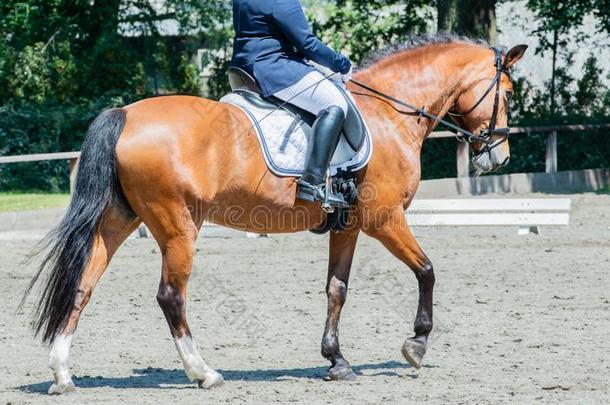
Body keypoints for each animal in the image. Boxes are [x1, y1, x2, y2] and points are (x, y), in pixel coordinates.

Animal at [26, 36, 524, 392]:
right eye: (507, 92)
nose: (498, 157)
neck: (389, 112)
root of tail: (125, 114)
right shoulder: (384, 218)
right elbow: (427, 270)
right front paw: (416, 344)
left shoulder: (348, 226)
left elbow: (337, 290)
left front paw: (336, 361)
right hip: (177, 225)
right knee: (170, 296)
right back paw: (204, 373)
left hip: (118, 221)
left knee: (83, 285)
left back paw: (62, 376)